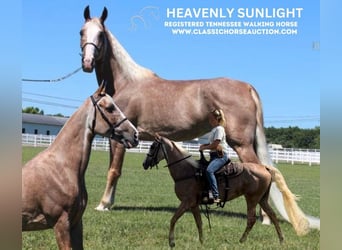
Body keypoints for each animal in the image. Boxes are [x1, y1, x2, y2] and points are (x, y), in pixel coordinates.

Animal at [78, 5, 318, 232]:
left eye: (100, 34)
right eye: (82, 31)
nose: (87, 63)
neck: (127, 82)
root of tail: (247, 87)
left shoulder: (120, 139)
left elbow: (113, 171)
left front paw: (102, 204)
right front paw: (109, 203)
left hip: (241, 144)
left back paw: (266, 218)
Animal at [140, 135, 306, 246]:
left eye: (153, 146)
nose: (144, 164)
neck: (187, 172)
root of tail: (264, 167)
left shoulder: (186, 202)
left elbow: (173, 219)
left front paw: (172, 242)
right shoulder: (194, 205)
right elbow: (199, 222)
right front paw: (201, 241)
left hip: (252, 198)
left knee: (251, 219)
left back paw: (241, 240)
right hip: (262, 199)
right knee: (272, 215)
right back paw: (281, 240)